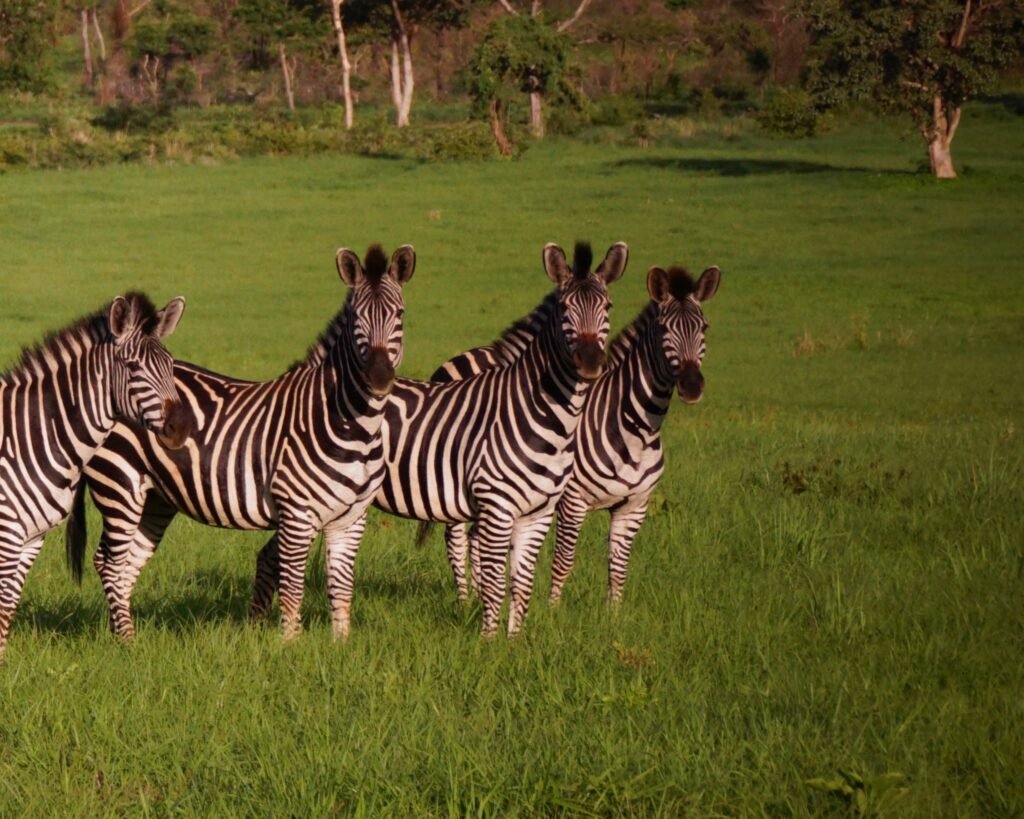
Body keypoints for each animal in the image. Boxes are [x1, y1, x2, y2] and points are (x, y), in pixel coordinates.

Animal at [0, 293, 189, 663]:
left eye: (171, 365)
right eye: (132, 367)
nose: (180, 429)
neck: (36, 434)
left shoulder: (31, 537)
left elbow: (9, 602)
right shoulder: (7, 533)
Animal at [66, 245, 415, 640]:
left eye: (400, 314)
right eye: (357, 317)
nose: (379, 378)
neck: (350, 422)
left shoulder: (352, 518)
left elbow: (341, 589)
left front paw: (340, 646)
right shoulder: (297, 514)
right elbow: (292, 588)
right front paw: (290, 646)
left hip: (155, 498)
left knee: (126, 565)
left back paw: (126, 634)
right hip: (119, 486)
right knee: (108, 562)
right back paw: (125, 640)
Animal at [429, 261, 720, 606]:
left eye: (704, 328)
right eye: (664, 330)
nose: (692, 386)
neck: (635, 430)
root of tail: (461, 357)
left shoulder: (634, 506)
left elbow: (619, 566)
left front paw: (612, 614)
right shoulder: (573, 499)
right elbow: (564, 560)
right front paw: (552, 610)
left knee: (475, 536)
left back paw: (477, 595)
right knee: (455, 538)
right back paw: (464, 600)